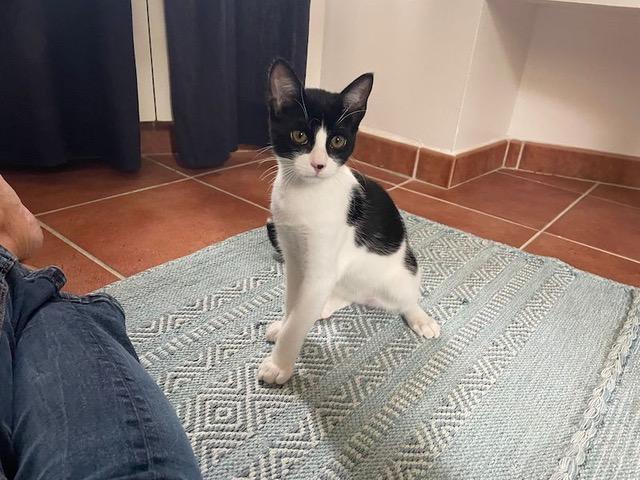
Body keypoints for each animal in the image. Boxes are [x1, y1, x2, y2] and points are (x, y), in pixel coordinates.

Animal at [258, 59, 440, 384]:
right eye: (299, 136)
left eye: (337, 141)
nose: (318, 164)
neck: (305, 195)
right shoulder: (294, 256)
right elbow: (294, 303)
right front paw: (284, 324)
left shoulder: (321, 266)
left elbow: (299, 318)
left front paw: (278, 365)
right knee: (345, 293)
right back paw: (324, 306)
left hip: (400, 277)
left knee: (406, 298)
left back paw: (420, 318)